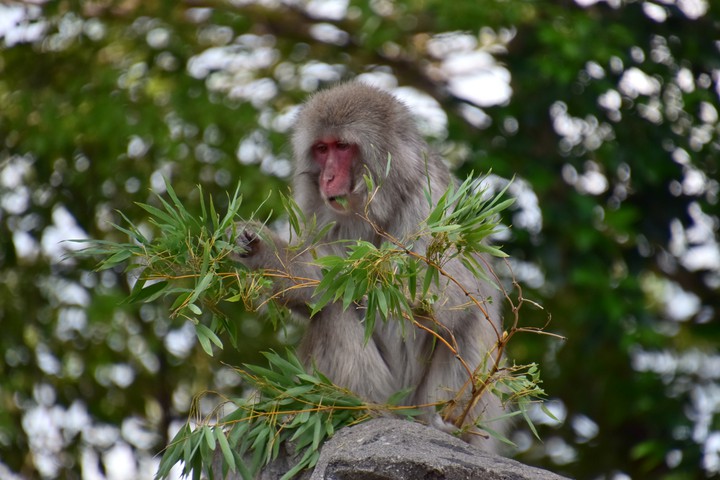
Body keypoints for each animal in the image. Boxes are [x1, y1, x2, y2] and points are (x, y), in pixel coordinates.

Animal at [233, 82, 505, 452]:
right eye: (321, 149)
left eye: (343, 147)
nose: (328, 177)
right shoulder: (318, 213)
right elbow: (314, 295)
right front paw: (262, 253)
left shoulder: (431, 202)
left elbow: (441, 295)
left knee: (474, 316)